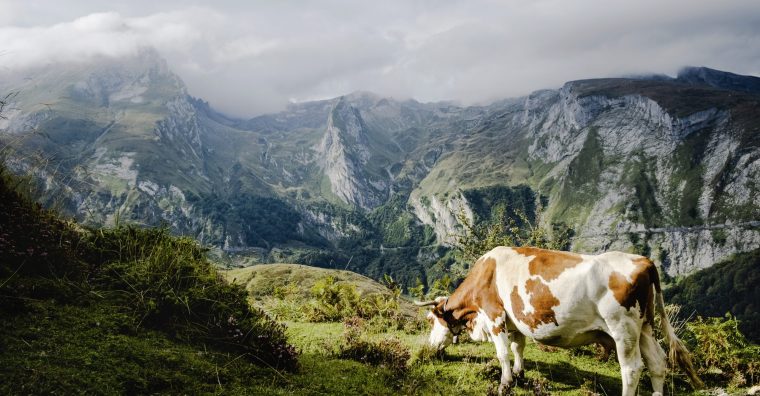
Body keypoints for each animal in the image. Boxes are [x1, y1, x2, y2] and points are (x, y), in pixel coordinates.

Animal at [416, 246, 700, 394]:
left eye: (430, 320)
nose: (429, 347)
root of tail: (643, 260)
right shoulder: (516, 319)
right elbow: (518, 347)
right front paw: (519, 374)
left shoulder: (495, 315)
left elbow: (503, 353)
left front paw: (505, 383)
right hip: (646, 327)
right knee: (657, 362)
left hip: (624, 329)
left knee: (631, 368)